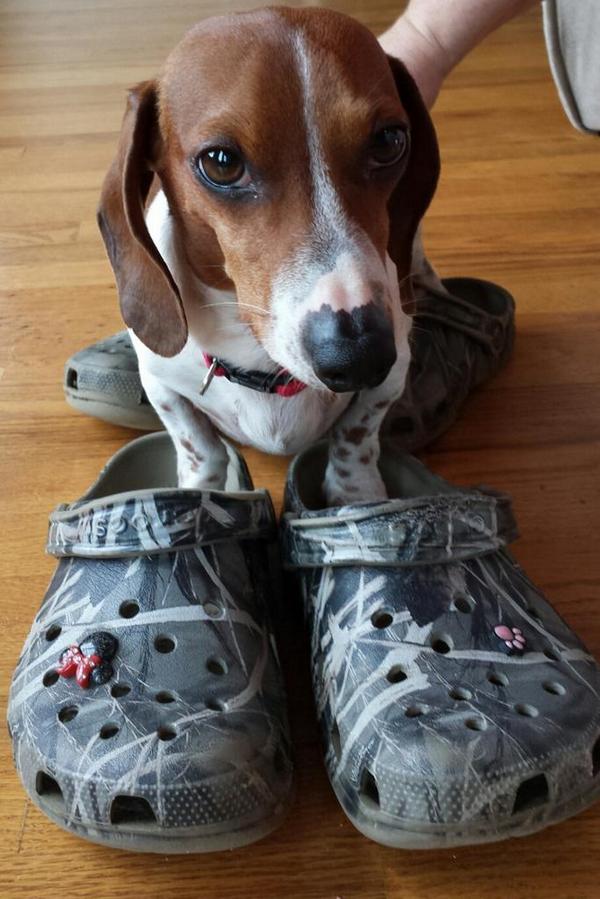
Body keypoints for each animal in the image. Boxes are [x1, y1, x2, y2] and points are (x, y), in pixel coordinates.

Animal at [98, 5, 440, 506]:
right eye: (220, 162)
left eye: (389, 141)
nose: (360, 354)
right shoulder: (161, 382)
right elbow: (199, 445)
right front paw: (198, 492)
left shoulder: (392, 374)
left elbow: (357, 434)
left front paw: (355, 491)